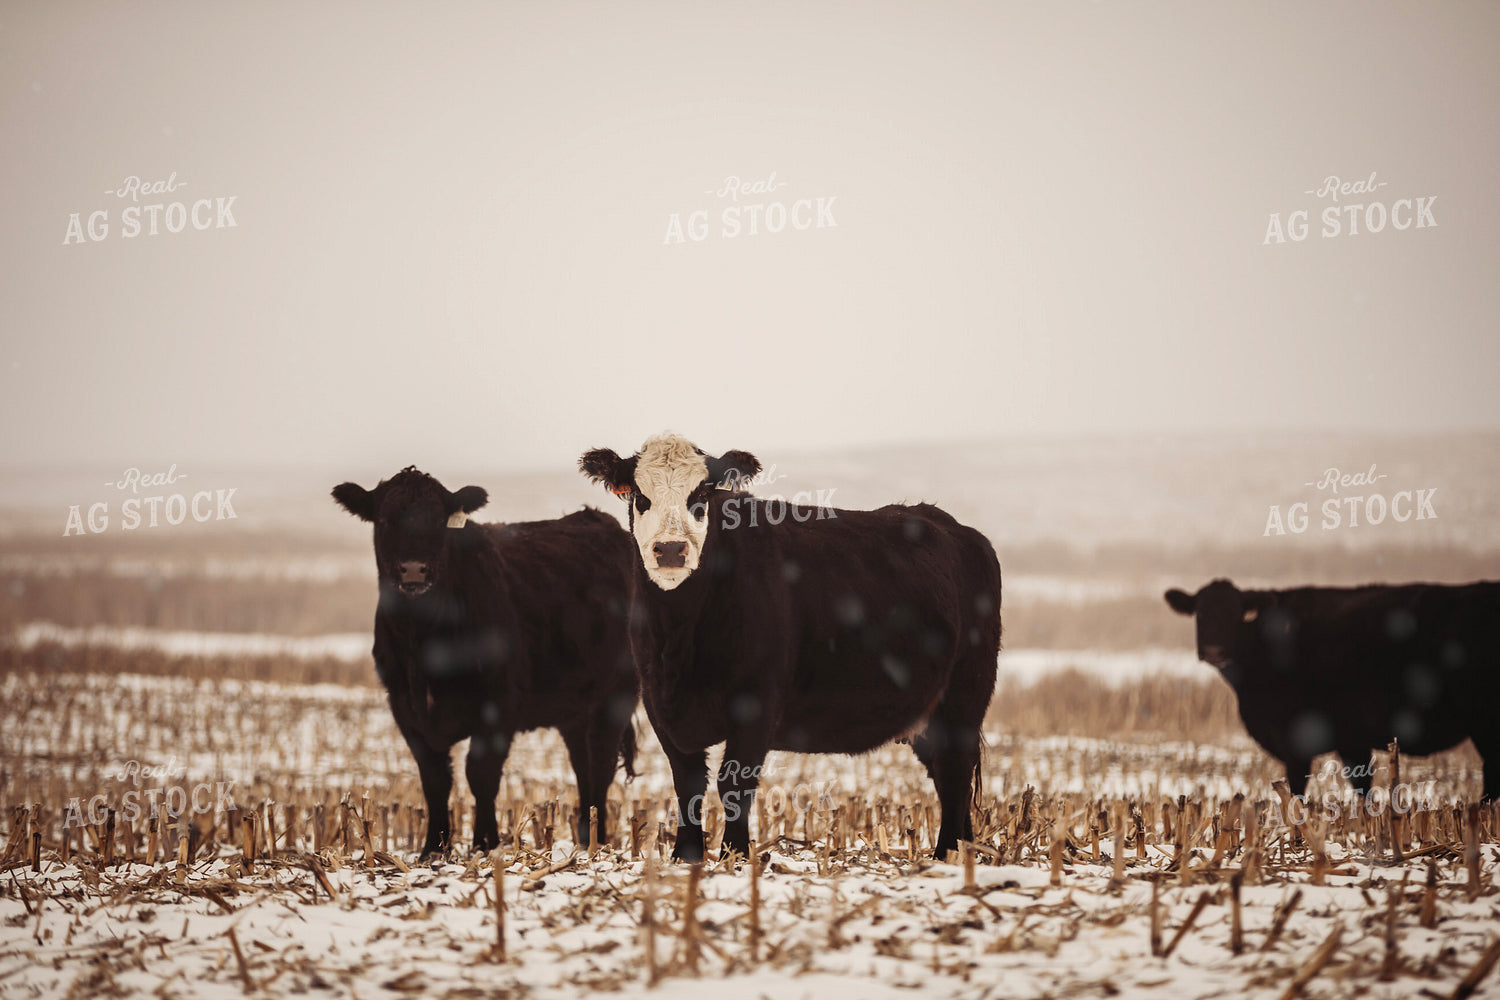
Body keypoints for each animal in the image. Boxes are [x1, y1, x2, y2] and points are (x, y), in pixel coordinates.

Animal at [332, 466, 639, 859]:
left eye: (439, 521)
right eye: (384, 520)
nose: (414, 570)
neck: (424, 644)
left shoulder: (499, 704)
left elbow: (481, 776)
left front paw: (484, 844)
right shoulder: (405, 707)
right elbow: (434, 779)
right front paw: (433, 849)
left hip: (615, 695)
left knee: (600, 763)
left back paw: (595, 842)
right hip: (574, 708)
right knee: (582, 765)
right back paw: (586, 836)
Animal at [578, 433, 1002, 862]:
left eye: (702, 494)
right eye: (639, 495)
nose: (670, 550)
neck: (678, 637)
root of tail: (955, 527)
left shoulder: (757, 701)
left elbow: (735, 783)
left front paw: (735, 854)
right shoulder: (659, 705)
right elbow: (687, 784)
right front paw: (685, 857)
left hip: (965, 696)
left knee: (955, 773)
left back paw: (946, 854)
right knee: (948, 776)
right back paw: (964, 849)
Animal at [1165, 578, 1500, 801]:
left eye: (1237, 614)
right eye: (1200, 613)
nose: (1214, 651)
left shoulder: (1305, 739)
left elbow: (1304, 793)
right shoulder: (1350, 739)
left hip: (1484, 721)